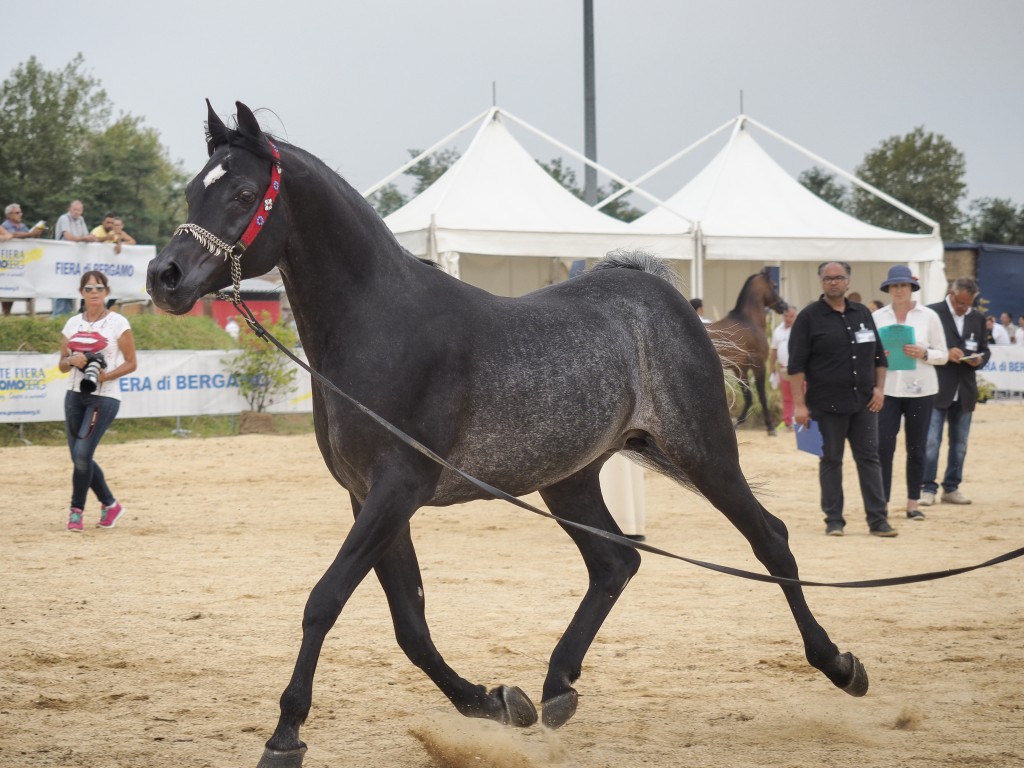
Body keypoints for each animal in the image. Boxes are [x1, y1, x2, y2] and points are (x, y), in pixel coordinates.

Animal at [708, 270, 786, 438]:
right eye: (774, 285)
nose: (784, 306)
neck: (749, 322)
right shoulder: (758, 366)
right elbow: (760, 396)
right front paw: (770, 427)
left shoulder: (741, 369)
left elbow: (748, 397)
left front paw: (737, 424)